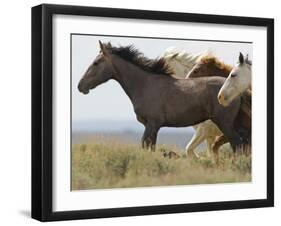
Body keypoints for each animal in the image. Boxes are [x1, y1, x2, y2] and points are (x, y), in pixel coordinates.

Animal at [78, 41, 243, 154]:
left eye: (96, 62)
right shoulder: (150, 126)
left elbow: (148, 147)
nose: (80, 86)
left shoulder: (152, 125)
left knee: (237, 143)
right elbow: (148, 147)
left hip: (224, 124)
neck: (145, 84)